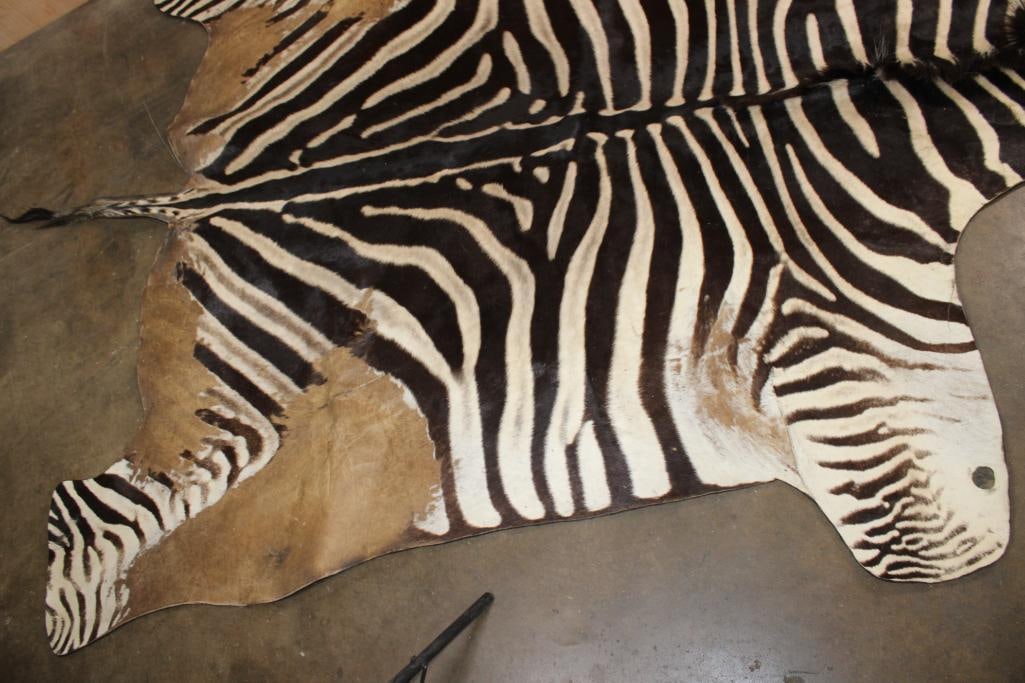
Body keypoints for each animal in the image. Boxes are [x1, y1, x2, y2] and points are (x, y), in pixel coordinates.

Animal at [34, 0, 1025, 655]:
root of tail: (207, 194)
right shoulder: (843, 348)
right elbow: (956, 529)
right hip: (248, 435)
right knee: (98, 528)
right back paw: (65, 616)